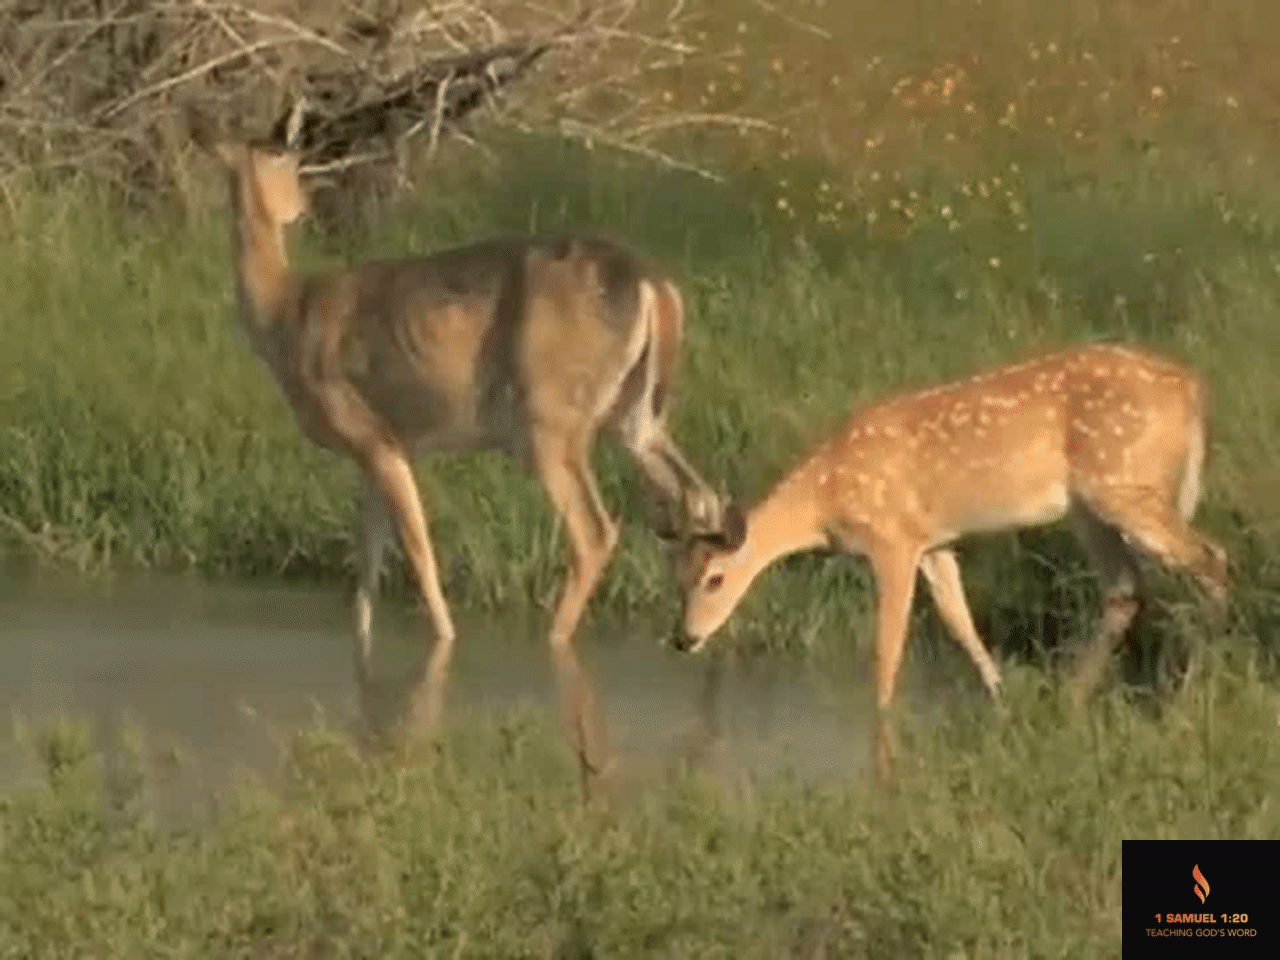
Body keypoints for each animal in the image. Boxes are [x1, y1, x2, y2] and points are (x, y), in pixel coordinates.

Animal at [195, 101, 728, 791]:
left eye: (290, 155)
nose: (303, 207)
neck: (287, 314)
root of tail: (653, 285)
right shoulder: (371, 454)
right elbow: (366, 569)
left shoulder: (377, 439)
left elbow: (418, 554)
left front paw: (441, 658)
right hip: (634, 418)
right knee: (705, 499)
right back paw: (701, 642)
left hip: (551, 424)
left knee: (595, 530)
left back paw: (554, 647)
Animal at [670, 342, 1230, 784]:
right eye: (677, 576)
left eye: (715, 578)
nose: (683, 638)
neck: (826, 500)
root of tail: (1192, 390)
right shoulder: (933, 544)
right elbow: (958, 620)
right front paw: (1001, 699)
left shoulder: (892, 543)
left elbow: (888, 648)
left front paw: (880, 741)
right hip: (1092, 506)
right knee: (1127, 589)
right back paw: (1073, 698)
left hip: (1125, 486)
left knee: (1213, 560)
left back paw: (1190, 693)